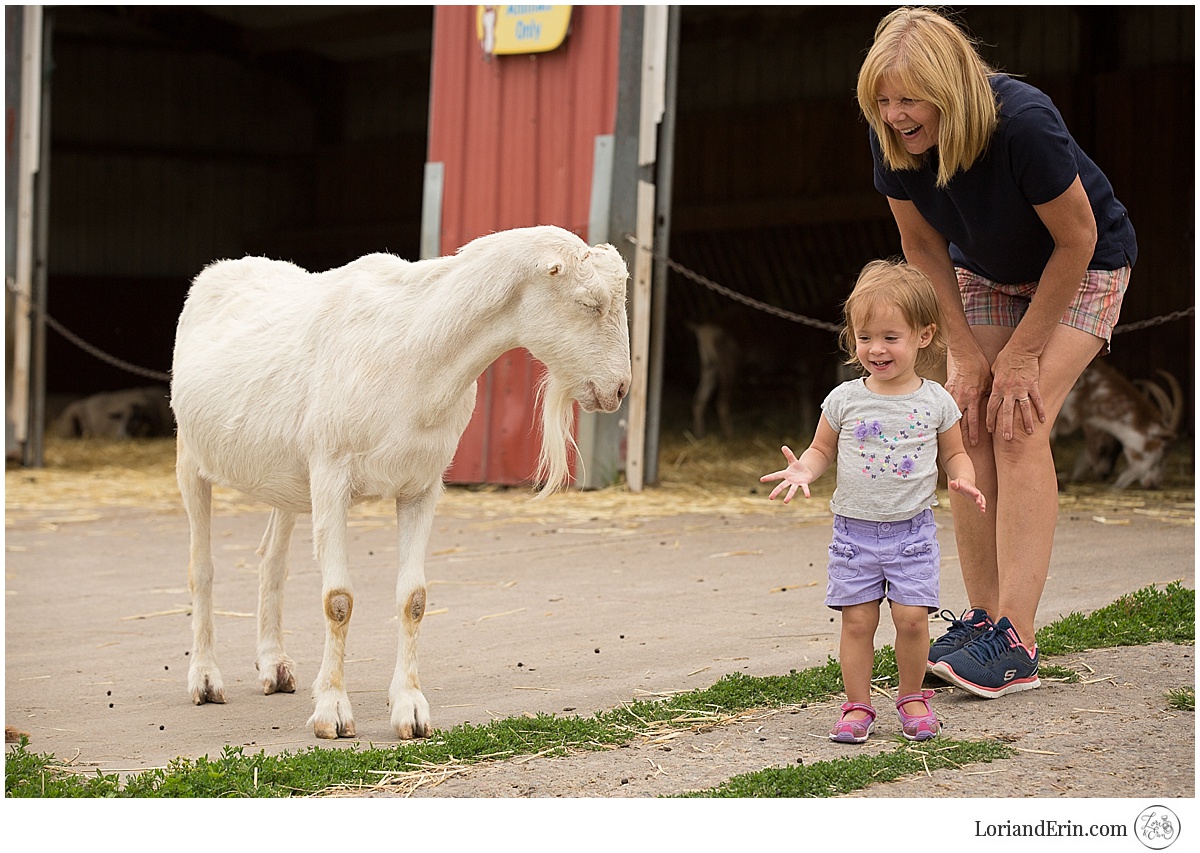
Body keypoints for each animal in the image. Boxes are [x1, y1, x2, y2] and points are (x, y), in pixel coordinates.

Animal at [175, 226, 638, 739]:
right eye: (589, 302)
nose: (619, 389)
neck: (414, 346)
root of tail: (219, 269)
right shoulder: (331, 475)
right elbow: (337, 600)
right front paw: (332, 711)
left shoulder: (422, 485)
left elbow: (414, 599)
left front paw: (410, 710)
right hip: (190, 457)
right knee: (201, 568)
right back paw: (205, 680)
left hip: (288, 481)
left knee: (271, 563)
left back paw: (275, 667)